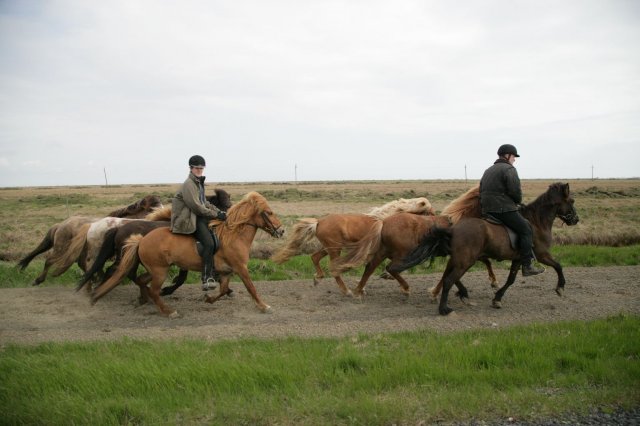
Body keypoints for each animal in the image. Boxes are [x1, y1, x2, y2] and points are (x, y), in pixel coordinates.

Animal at [90, 191, 282, 318]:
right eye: (269, 212)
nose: (281, 230)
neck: (232, 235)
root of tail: (141, 240)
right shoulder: (240, 268)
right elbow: (251, 287)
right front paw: (264, 306)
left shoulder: (226, 271)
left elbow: (223, 290)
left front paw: (209, 299)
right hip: (159, 271)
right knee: (152, 289)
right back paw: (168, 311)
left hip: (155, 269)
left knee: (141, 281)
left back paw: (143, 298)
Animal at [270, 197, 436, 294]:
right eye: (430, 211)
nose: (437, 224)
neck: (385, 221)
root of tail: (318, 222)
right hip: (334, 249)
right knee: (334, 269)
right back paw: (346, 291)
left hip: (329, 248)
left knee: (315, 257)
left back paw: (318, 278)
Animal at [392, 181, 584, 314]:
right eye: (572, 200)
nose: (575, 219)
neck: (537, 221)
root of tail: (454, 228)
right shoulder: (542, 254)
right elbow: (558, 266)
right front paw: (560, 288)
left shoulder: (518, 259)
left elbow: (511, 279)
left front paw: (497, 298)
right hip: (465, 260)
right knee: (449, 279)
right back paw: (445, 308)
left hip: (461, 259)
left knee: (449, 276)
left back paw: (455, 297)